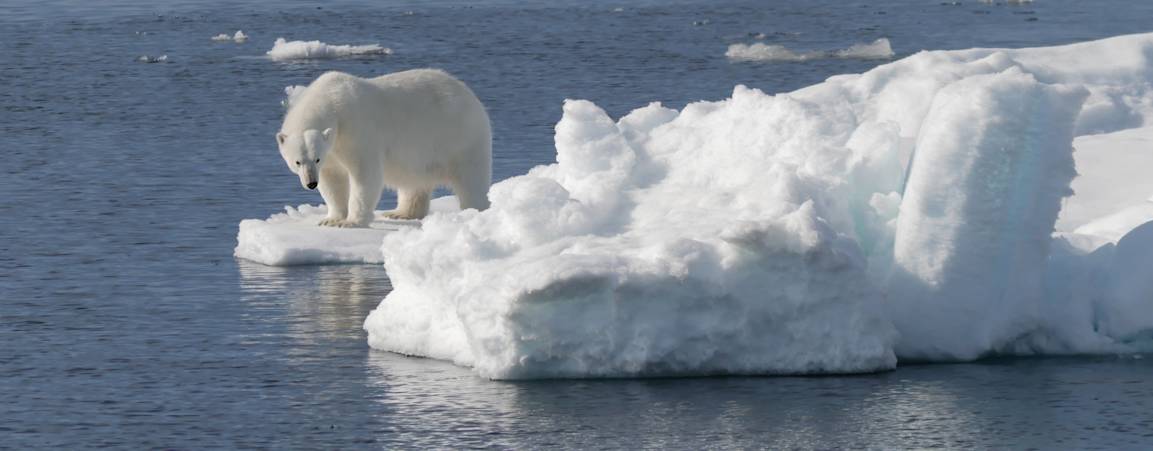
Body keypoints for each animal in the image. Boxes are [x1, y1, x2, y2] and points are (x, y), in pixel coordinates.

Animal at [276, 69, 492, 227]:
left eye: (316, 158)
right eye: (297, 161)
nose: (311, 183)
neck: (330, 100)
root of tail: (469, 94)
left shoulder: (356, 132)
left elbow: (364, 175)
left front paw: (351, 222)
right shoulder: (332, 151)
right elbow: (333, 180)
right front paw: (332, 219)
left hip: (459, 137)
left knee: (471, 179)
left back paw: (475, 210)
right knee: (414, 182)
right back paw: (401, 213)